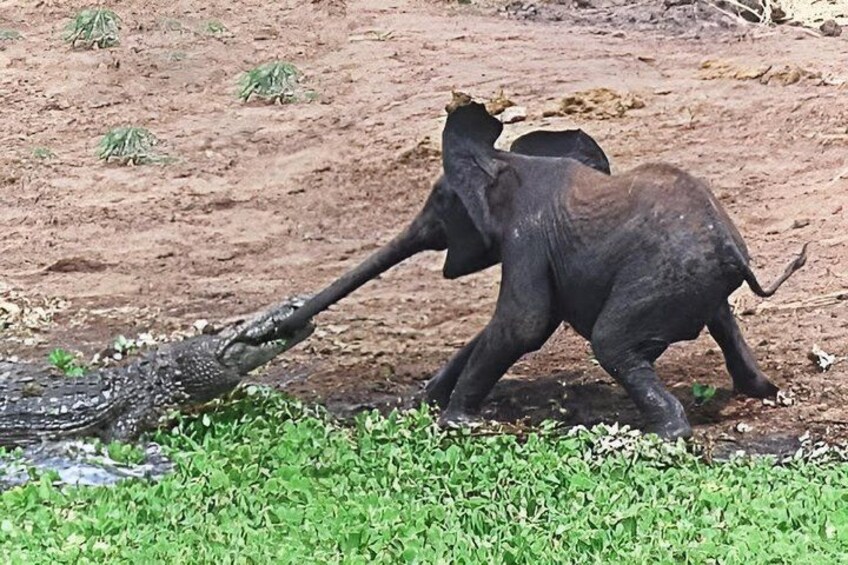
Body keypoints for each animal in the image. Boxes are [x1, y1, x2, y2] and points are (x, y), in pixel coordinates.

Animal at [235, 102, 806, 439]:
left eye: (441, 201)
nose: (270, 327)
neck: (507, 162)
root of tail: (733, 251)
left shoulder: (526, 236)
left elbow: (522, 324)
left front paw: (454, 420)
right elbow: (513, 325)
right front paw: (426, 400)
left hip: (665, 276)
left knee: (613, 343)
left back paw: (668, 435)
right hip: (692, 281)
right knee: (722, 322)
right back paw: (761, 392)